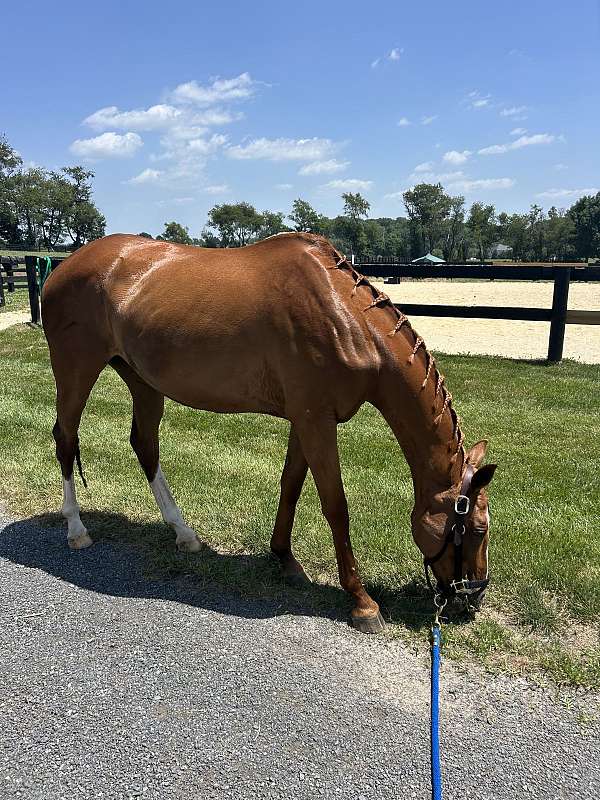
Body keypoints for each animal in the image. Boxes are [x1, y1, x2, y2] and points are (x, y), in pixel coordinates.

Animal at [41, 232, 496, 632]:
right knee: (66, 439)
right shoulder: (316, 420)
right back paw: (77, 530)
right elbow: (335, 505)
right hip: (76, 370)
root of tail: (63, 266)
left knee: (144, 444)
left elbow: (291, 485)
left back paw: (184, 534)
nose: (473, 598)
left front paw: (284, 559)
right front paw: (362, 601)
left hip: (142, 380)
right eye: (477, 530)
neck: (345, 317)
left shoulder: (305, 419)